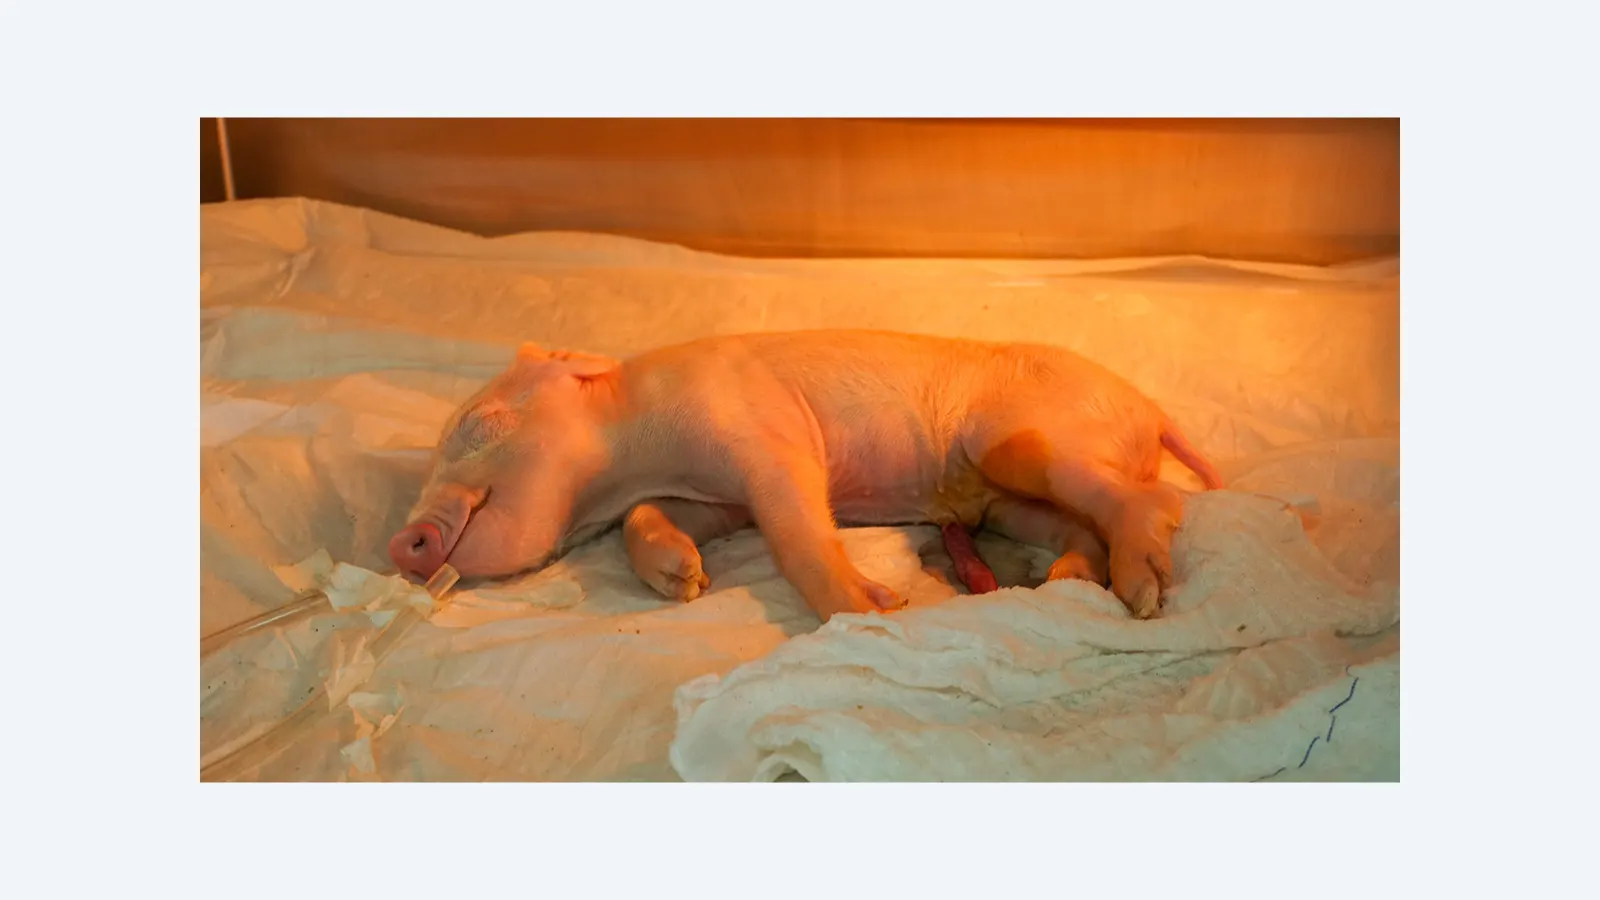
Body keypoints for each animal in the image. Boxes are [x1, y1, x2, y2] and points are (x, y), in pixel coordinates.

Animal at [388, 330, 1224, 622]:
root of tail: (1152, 412)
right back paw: (1066, 581)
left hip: (1018, 440)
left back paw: (1142, 594)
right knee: (1075, 526)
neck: (635, 453)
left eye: (477, 425)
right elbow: (651, 521)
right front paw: (683, 581)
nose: (400, 544)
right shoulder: (712, 497)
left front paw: (876, 608)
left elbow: (795, 525)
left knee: (1156, 498)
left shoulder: (763, 431)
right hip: (1004, 504)